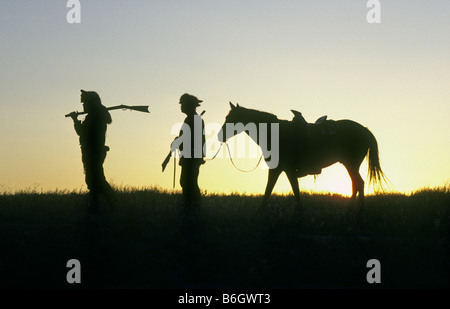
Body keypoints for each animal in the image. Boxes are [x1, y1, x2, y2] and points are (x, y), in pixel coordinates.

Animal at [218, 102, 386, 208]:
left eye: (230, 119)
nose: (220, 136)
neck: (277, 134)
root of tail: (364, 129)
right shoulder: (281, 170)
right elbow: (272, 192)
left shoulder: (285, 170)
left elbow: (289, 192)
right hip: (350, 164)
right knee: (357, 184)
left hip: (350, 163)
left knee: (358, 183)